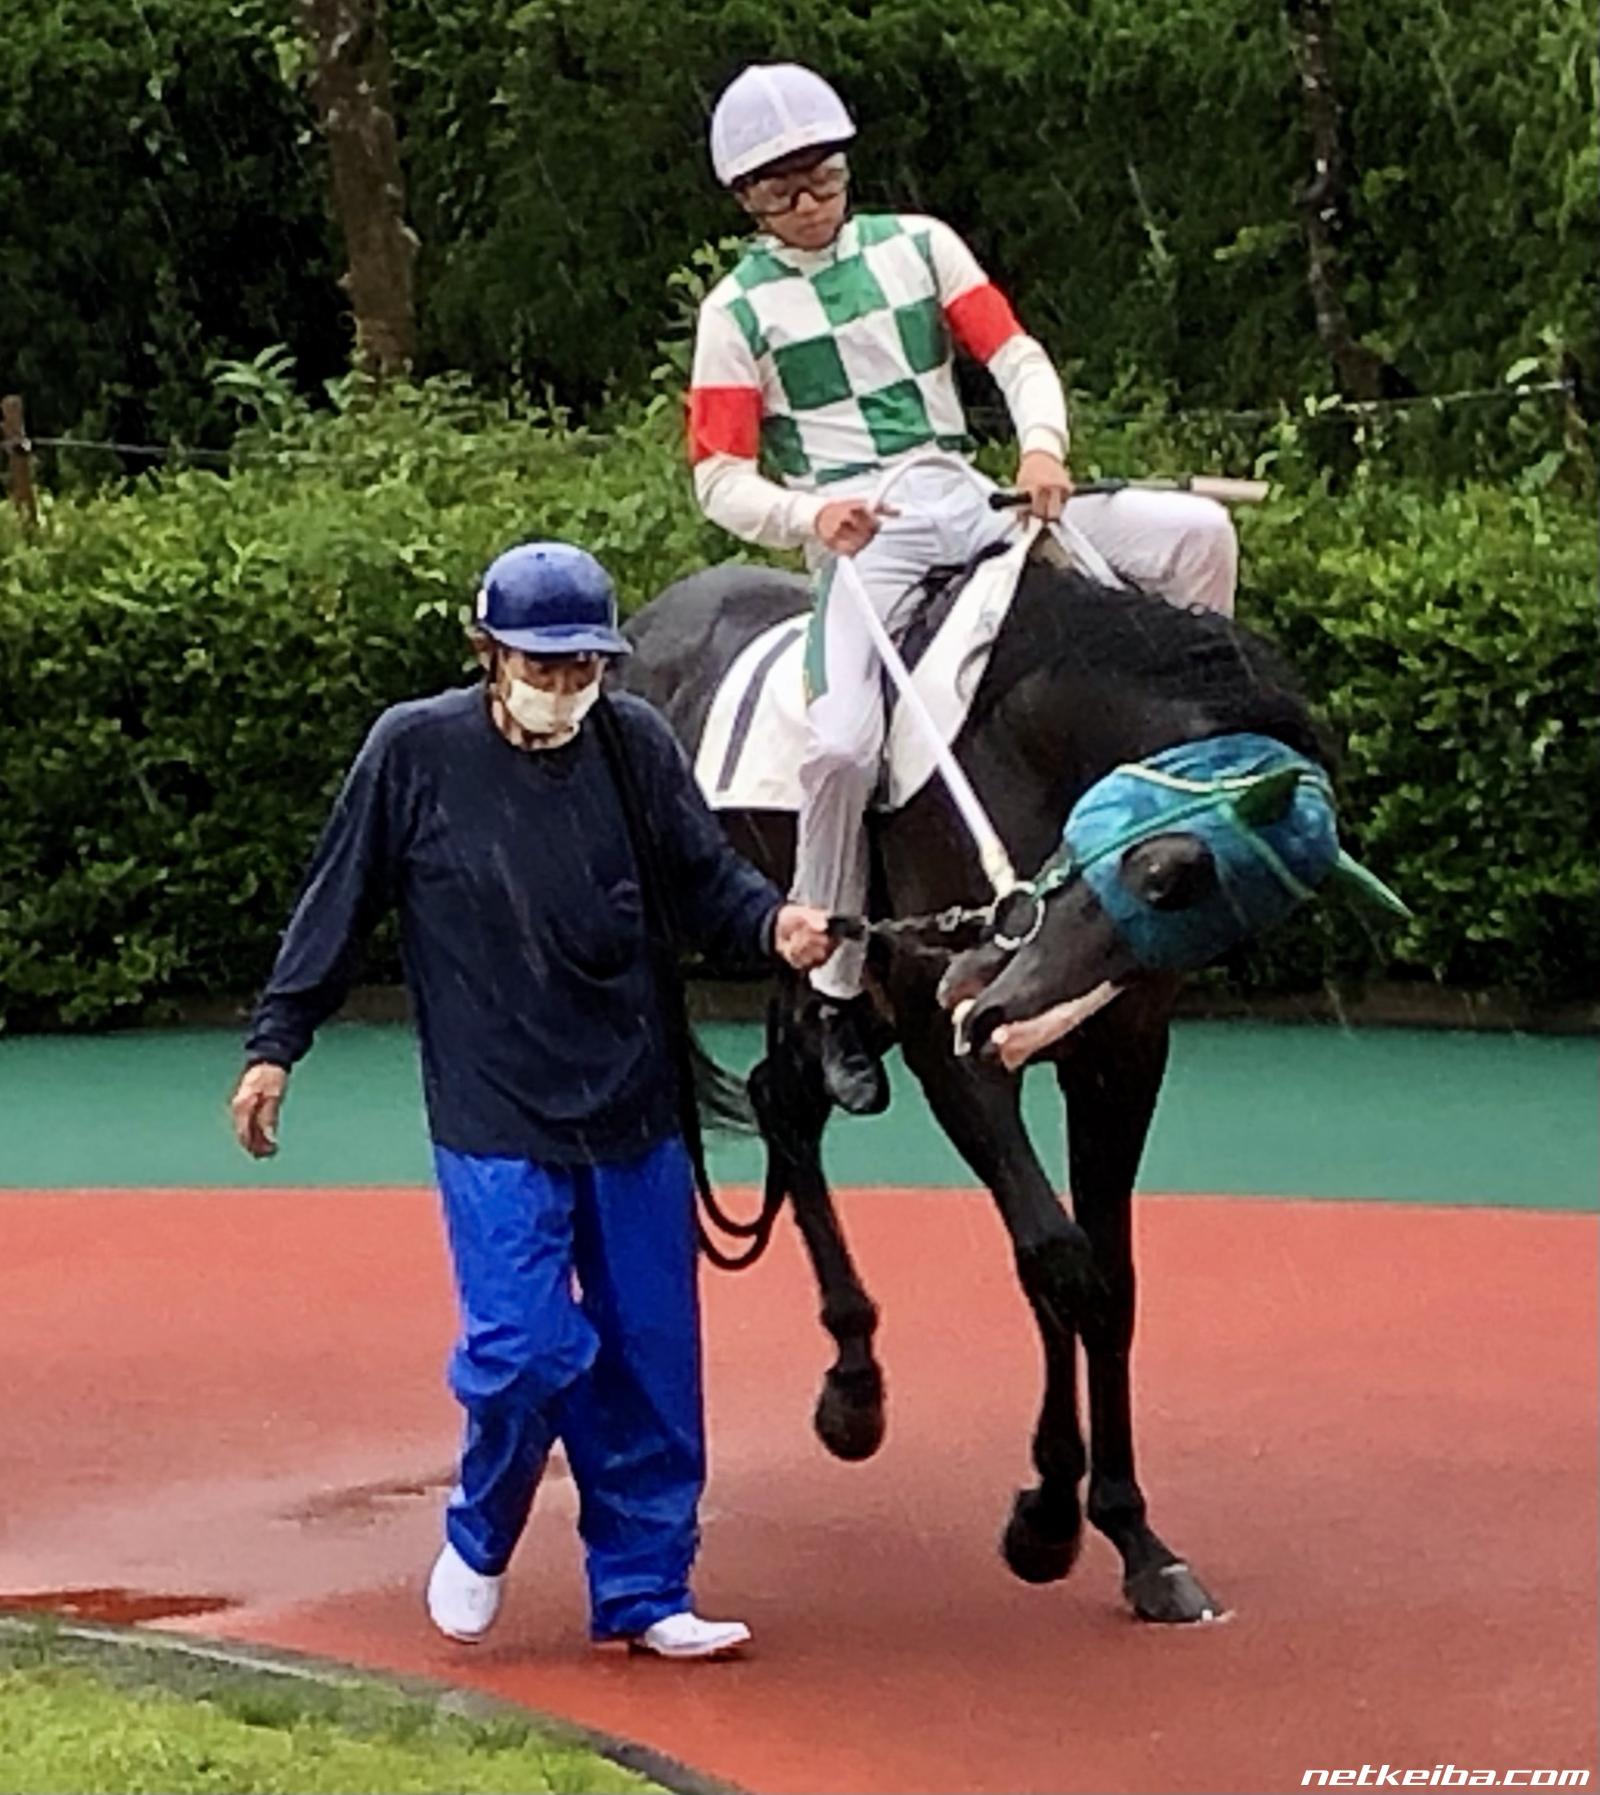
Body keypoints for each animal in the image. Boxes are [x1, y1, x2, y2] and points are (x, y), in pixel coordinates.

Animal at [620, 536, 1352, 1624]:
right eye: (1165, 872)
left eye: (1216, 912)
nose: (993, 998)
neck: (1028, 748)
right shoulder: (948, 1045)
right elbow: (1056, 1259)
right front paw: (1047, 1515)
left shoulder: (1119, 1051)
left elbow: (1111, 1278)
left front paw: (1132, 1534)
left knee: (783, 1097)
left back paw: (853, 1383)